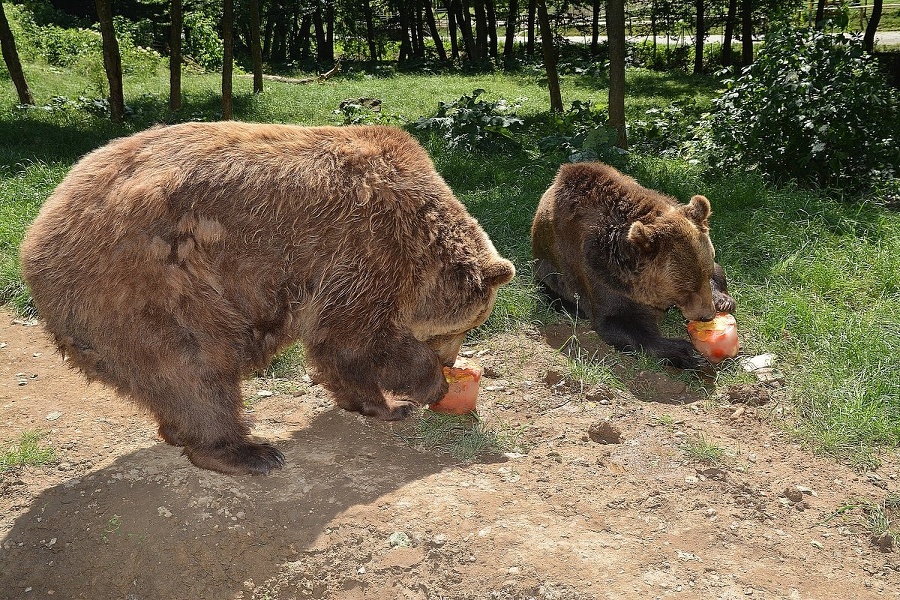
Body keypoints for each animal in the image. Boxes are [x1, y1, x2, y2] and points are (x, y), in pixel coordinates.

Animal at [19, 124, 512, 476]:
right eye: (464, 328)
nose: (450, 362)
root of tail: (36, 235)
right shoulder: (364, 249)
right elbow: (354, 340)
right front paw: (416, 394)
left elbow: (339, 349)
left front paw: (377, 403)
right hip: (154, 283)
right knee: (197, 364)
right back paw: (246, 451)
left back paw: (182, 432)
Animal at [532, 159, 736, 368]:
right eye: (686, 289)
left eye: (704, 275)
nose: (708, 315)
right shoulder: (599, 273)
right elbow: (618, 321)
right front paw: (687, 352)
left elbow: (718, 270)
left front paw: (723, 301)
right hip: (548, 269)